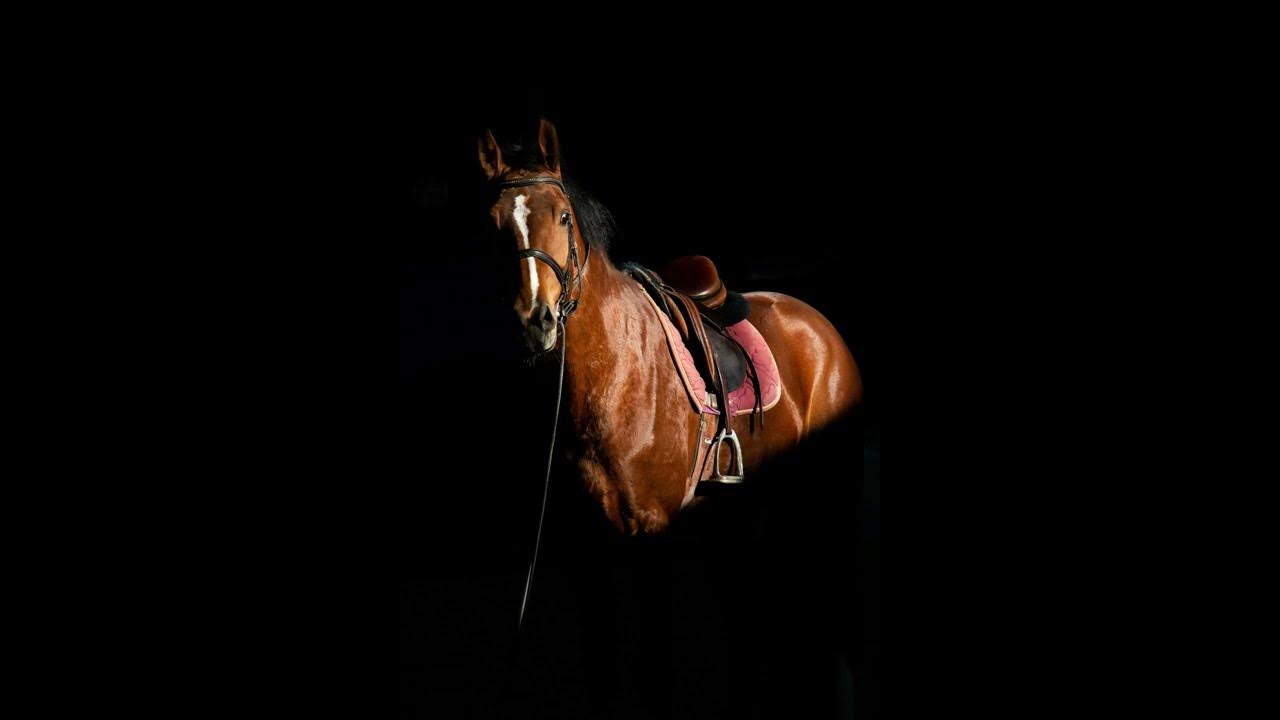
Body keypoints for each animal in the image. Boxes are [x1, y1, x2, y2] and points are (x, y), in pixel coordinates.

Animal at [478, 118, 863, 537]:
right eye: (493, 224)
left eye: (563, 216)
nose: (536, 319)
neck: (616, 373)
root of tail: (822, 328)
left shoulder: (653, 518)